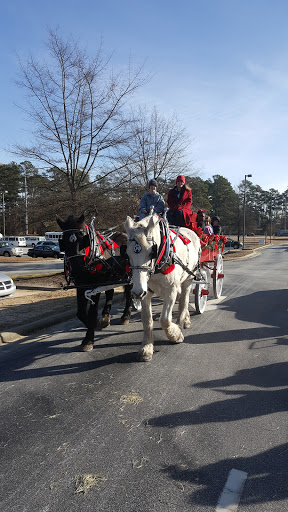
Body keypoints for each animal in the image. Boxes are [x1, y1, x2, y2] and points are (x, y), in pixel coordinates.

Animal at [57, 213, 133, 352]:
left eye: (83, 239)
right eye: (63, 242)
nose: (77, 270)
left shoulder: (94, 286)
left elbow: (92, 314)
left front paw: (88, 340)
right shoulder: (81, 285)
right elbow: (81, 313)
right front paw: (97, 324)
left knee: (130, 295)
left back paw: (125, 316)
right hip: (111, 277)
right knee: (110, 292)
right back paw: (105, 317)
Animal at [125, 214, 201, 362]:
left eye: (151, 252)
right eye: (128, 254)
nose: (136, 293)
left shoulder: (171, 289)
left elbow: (165, 319)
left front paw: (175, 334)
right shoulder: (146, 292)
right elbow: (147, 320)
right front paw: (147, 347)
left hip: (188, 280)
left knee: (184, 301)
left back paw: (181, 323)